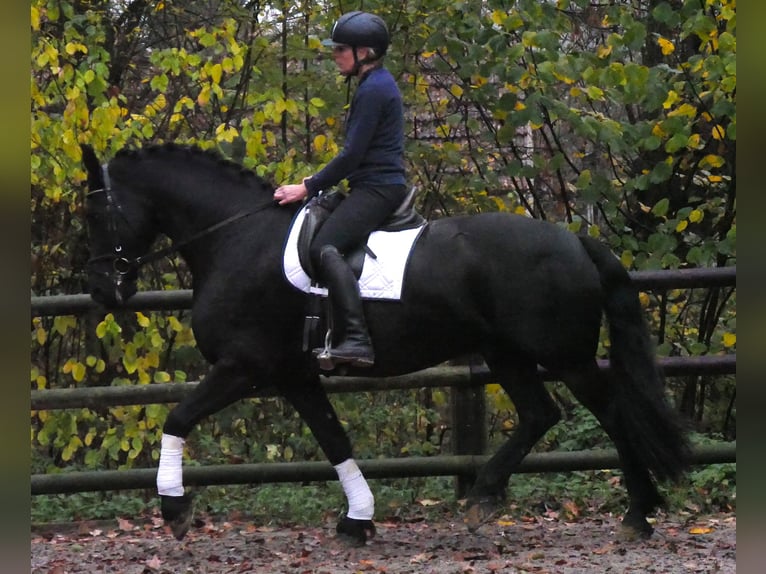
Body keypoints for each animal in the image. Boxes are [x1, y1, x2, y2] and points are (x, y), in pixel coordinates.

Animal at [80, 142, 690, 545]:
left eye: (97, 213)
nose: (103, 291)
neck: (236, 238)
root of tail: (576, 239)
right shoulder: (294, 374)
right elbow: (334, 439)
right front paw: (358, 521)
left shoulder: (243, 366)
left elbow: (177, 417)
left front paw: (174, 510)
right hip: (505, 353)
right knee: (541, 413)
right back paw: (485, 496)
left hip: (566, 356)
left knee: (611, 413)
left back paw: (637, 515)